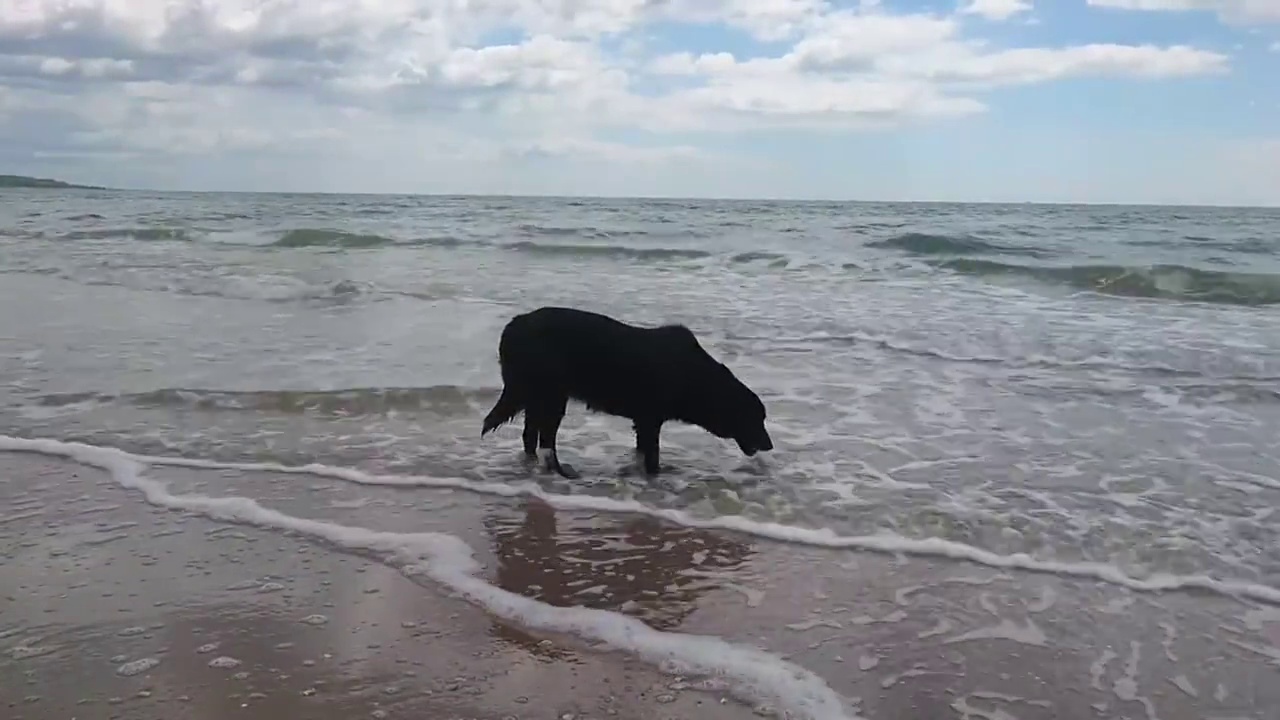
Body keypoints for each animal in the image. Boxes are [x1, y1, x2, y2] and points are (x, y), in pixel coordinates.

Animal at [483, 303, 773, 476]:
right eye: (754, 419)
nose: (770, 446)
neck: (696, 376)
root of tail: (513, 326)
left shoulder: (644, 421)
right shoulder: (650, 419)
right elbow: (652, 456)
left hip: (536, 396)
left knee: (530, 435)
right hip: (551, 396)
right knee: (546, 438)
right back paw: (561, 471)